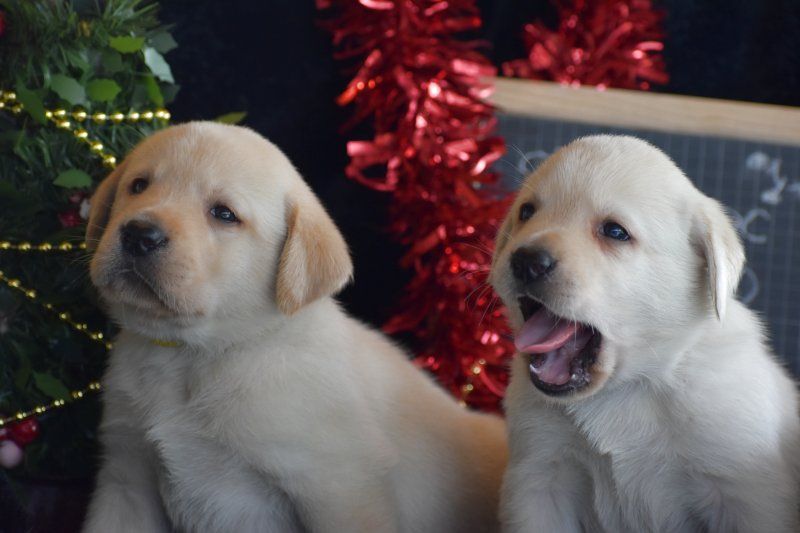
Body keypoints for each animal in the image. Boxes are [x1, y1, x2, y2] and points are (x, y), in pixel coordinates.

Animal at [81, 121, 506, 532]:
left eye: (223, 213)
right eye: (138, 185)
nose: (139, 234)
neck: (193, 356)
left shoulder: (338, 489)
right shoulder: (126, 478)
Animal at [490, 135, 800, 528]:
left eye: (615, 232)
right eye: (527, 212)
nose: (526, 260)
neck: (631, 386)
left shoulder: (745, 495)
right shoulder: (540, 479)